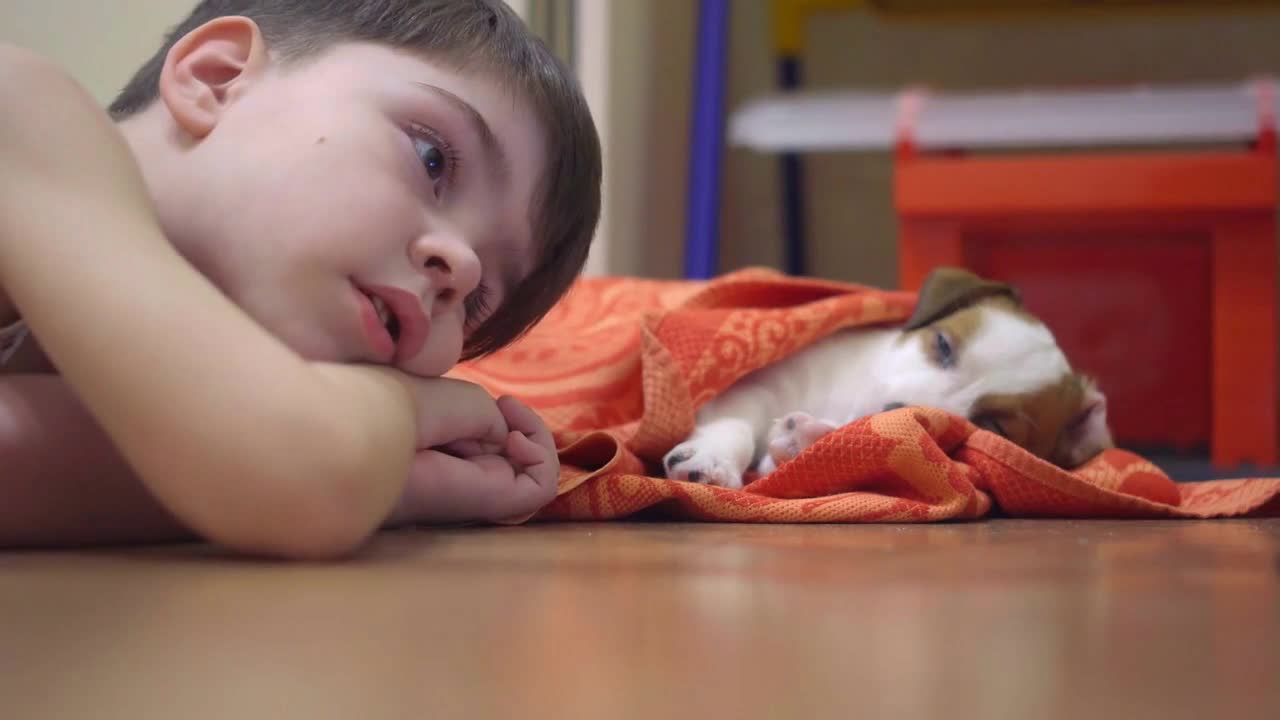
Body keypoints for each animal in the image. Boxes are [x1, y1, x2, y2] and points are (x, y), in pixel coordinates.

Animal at [665, 265, 1116, 486]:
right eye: (943, 345)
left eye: (993, 426)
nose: (891, 410)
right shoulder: (756, 383)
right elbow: (736, 422)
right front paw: (712, 457)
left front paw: (805, 441)